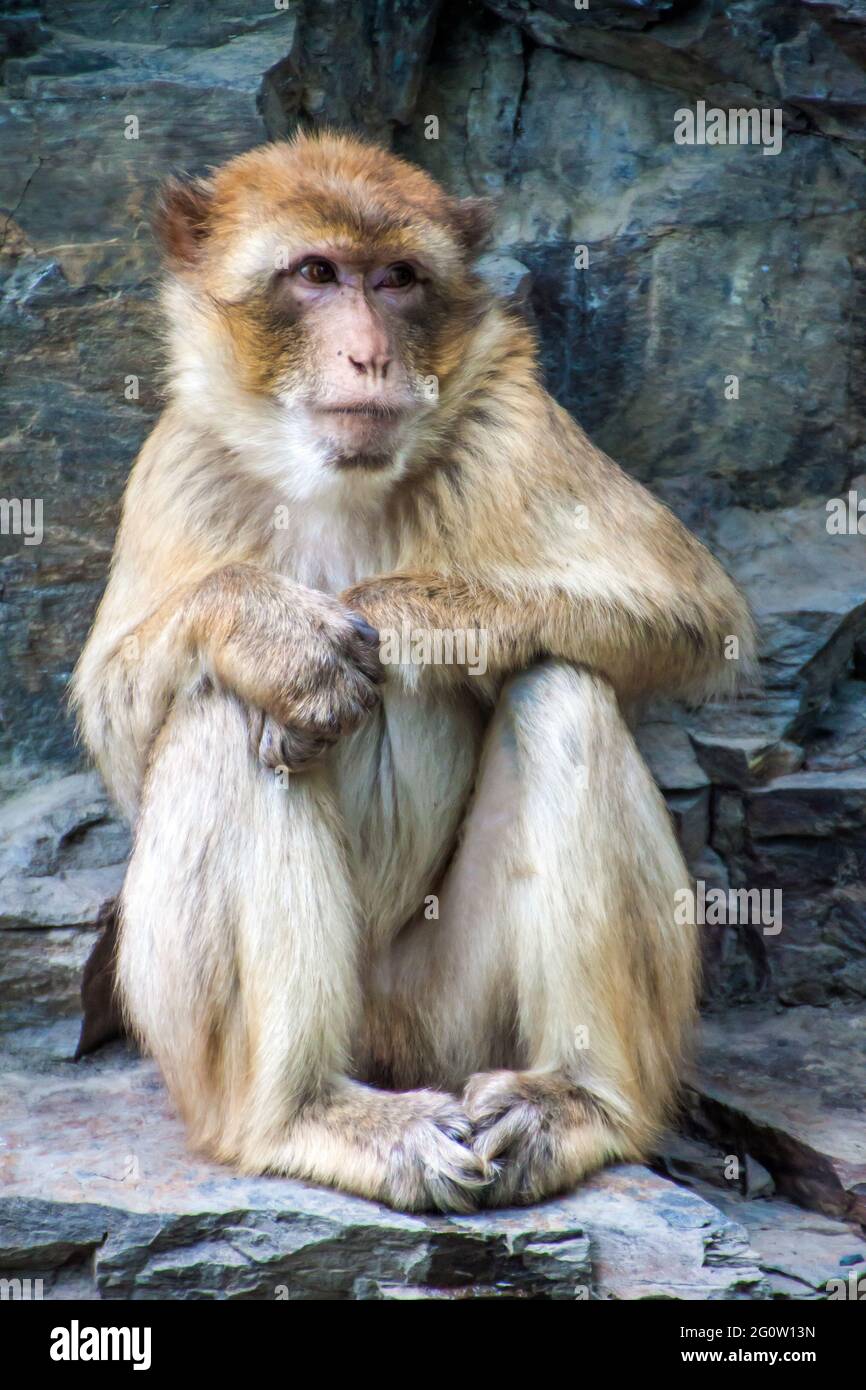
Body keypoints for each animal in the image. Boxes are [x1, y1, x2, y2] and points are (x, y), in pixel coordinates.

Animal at [71, 130, 756, 1213]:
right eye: (316, 274)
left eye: (395, 279)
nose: (369, 353)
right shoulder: (183, 458)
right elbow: (115, 718)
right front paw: (267, 630)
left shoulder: (508, 418)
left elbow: (691, 610)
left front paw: (406, 614)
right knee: (218, 706)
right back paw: (300, 1113)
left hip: (451, 1021)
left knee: (559, 684)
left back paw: (580, 1103)